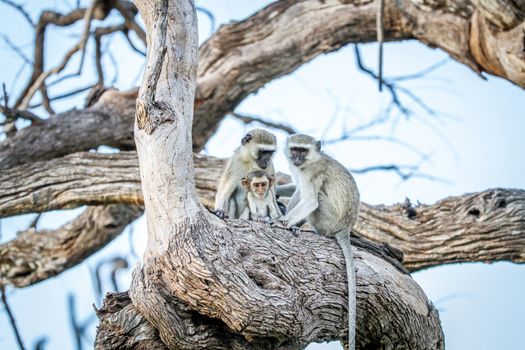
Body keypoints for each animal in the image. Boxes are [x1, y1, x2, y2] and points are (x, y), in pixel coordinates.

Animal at [278, 133, 360, 350]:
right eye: (295, 149)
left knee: (313, 198)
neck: (311, 161)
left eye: (303, 151)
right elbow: (295, 186)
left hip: (327, 219)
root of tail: (345, 227)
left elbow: (310, 201)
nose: (297, 159)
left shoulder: (312, 173)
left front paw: (278, 221)